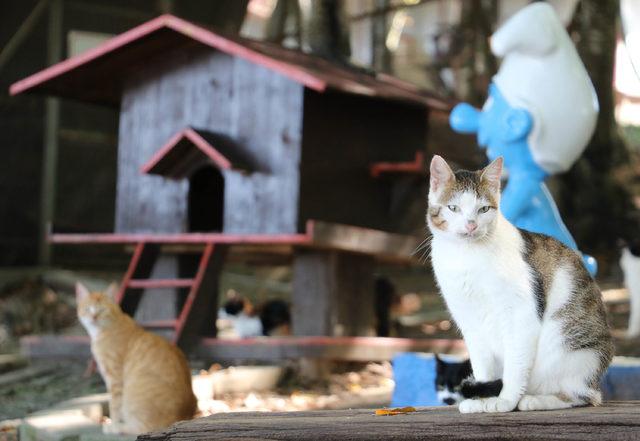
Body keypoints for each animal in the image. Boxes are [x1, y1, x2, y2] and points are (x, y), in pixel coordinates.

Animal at [75, 282, 196, 434]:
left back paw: (121, 428)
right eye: (87, 309)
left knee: (141, 429)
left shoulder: (115, 379)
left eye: (102, 310)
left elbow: (115, 405)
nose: (94, 317)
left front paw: (114, 426)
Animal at [428, 156, 612, 412]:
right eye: (453, 208)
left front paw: (505, 400)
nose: (471, 225)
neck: (466, 256)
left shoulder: (520, 314)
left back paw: (533, 400)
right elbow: (482, 366)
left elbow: (515, 366)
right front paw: (481, 399)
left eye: (483, 209)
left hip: (576, 353)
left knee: (582, 396)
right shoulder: (470, 322)